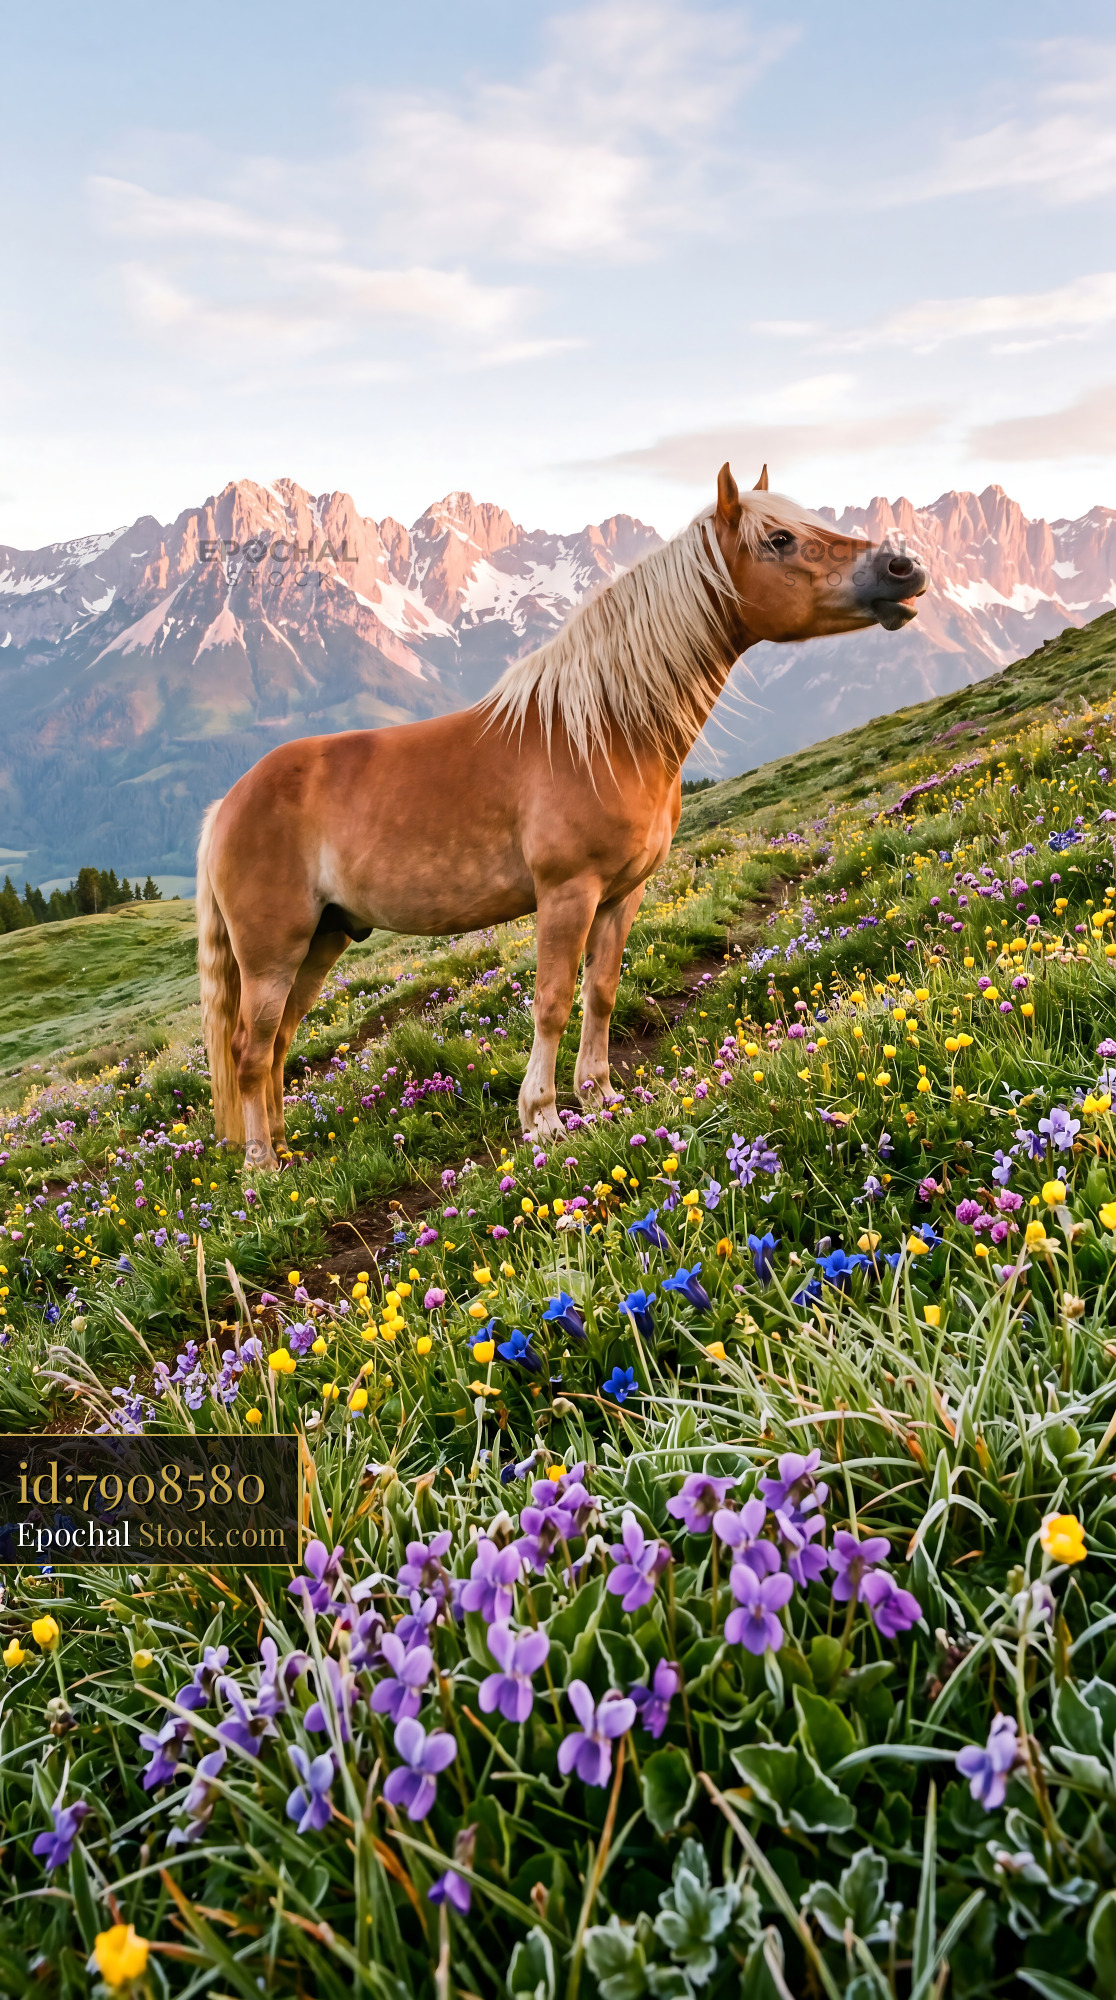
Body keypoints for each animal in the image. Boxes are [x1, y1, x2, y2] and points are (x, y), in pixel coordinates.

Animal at [196, 462, 927, 1166]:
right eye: (779, 538)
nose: (905, 569)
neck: (601, 734)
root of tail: (227, 805)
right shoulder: (567, 894)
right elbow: (550, 1002)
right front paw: (543, 1117)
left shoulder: (622, 895)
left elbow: (600, 991)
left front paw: (600, 1095)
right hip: (272, 953)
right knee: (252, 1049)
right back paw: (261, 1166)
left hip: (322, 940)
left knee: (280, 1043)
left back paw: (286, 1149)